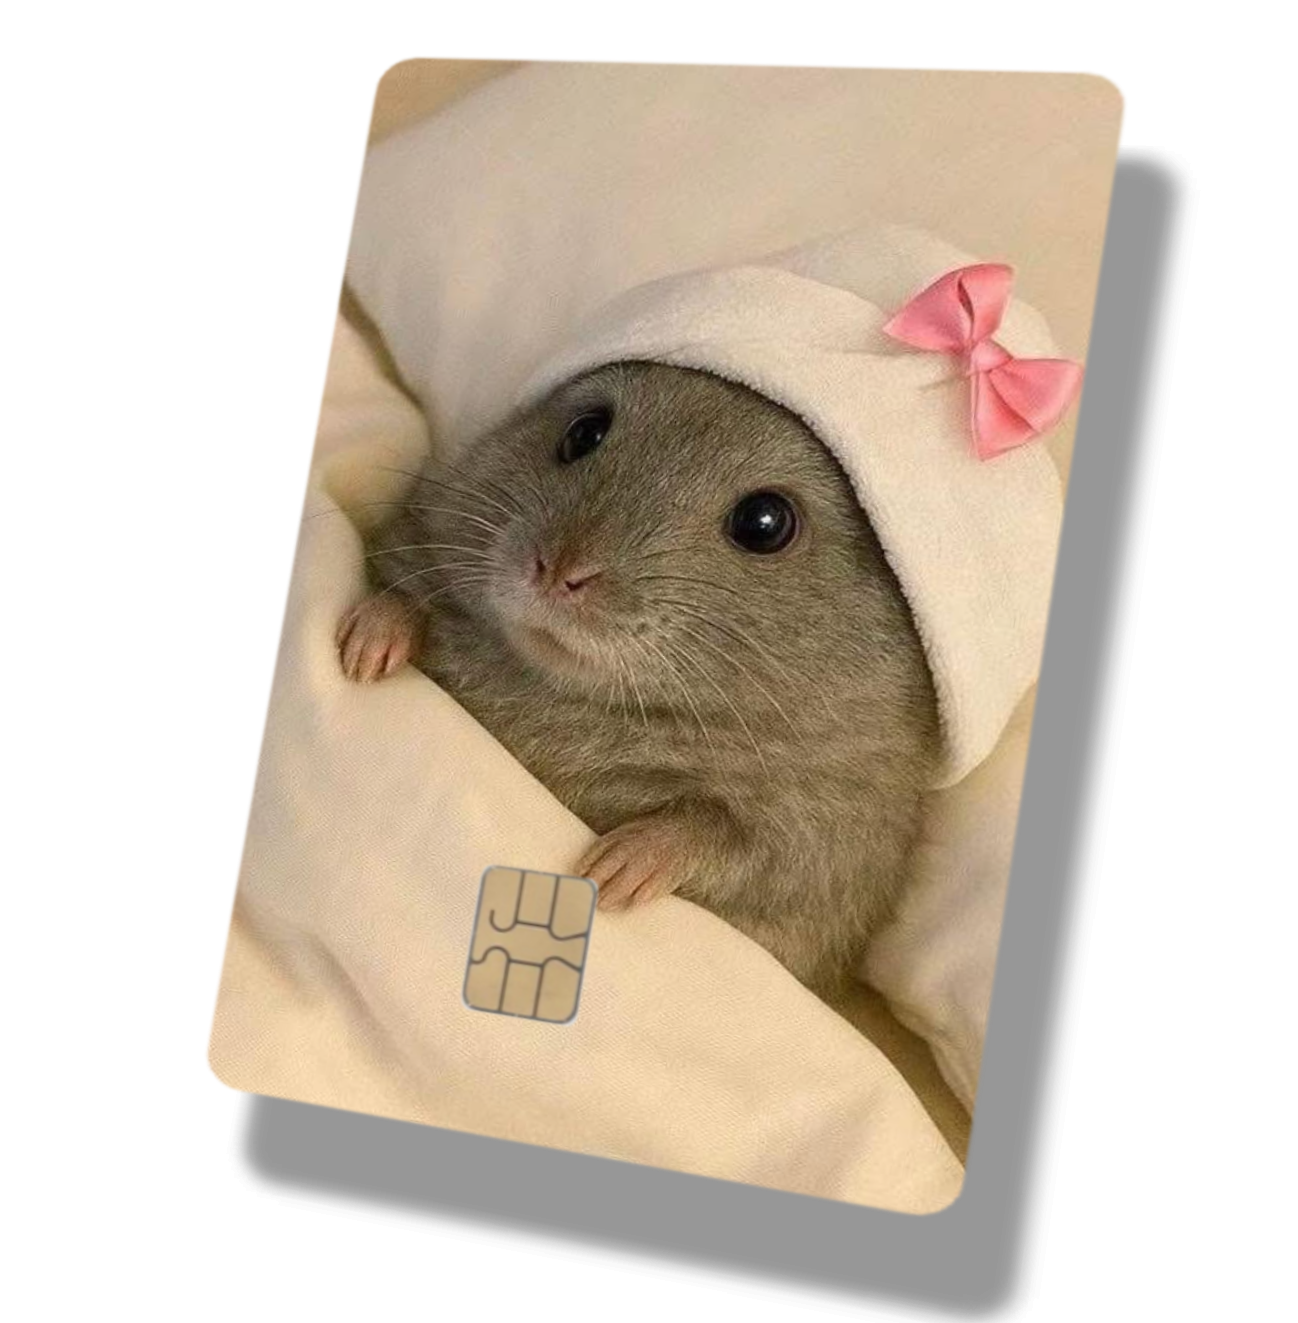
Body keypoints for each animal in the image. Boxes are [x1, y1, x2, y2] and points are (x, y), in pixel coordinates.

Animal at [337, 362, 940, 996]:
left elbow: (736, 841)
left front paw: (630, 859)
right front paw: (381, 628)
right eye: (584, 432)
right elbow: (404, 581)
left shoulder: (834, 845)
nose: (557, 570)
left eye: (765, 522)